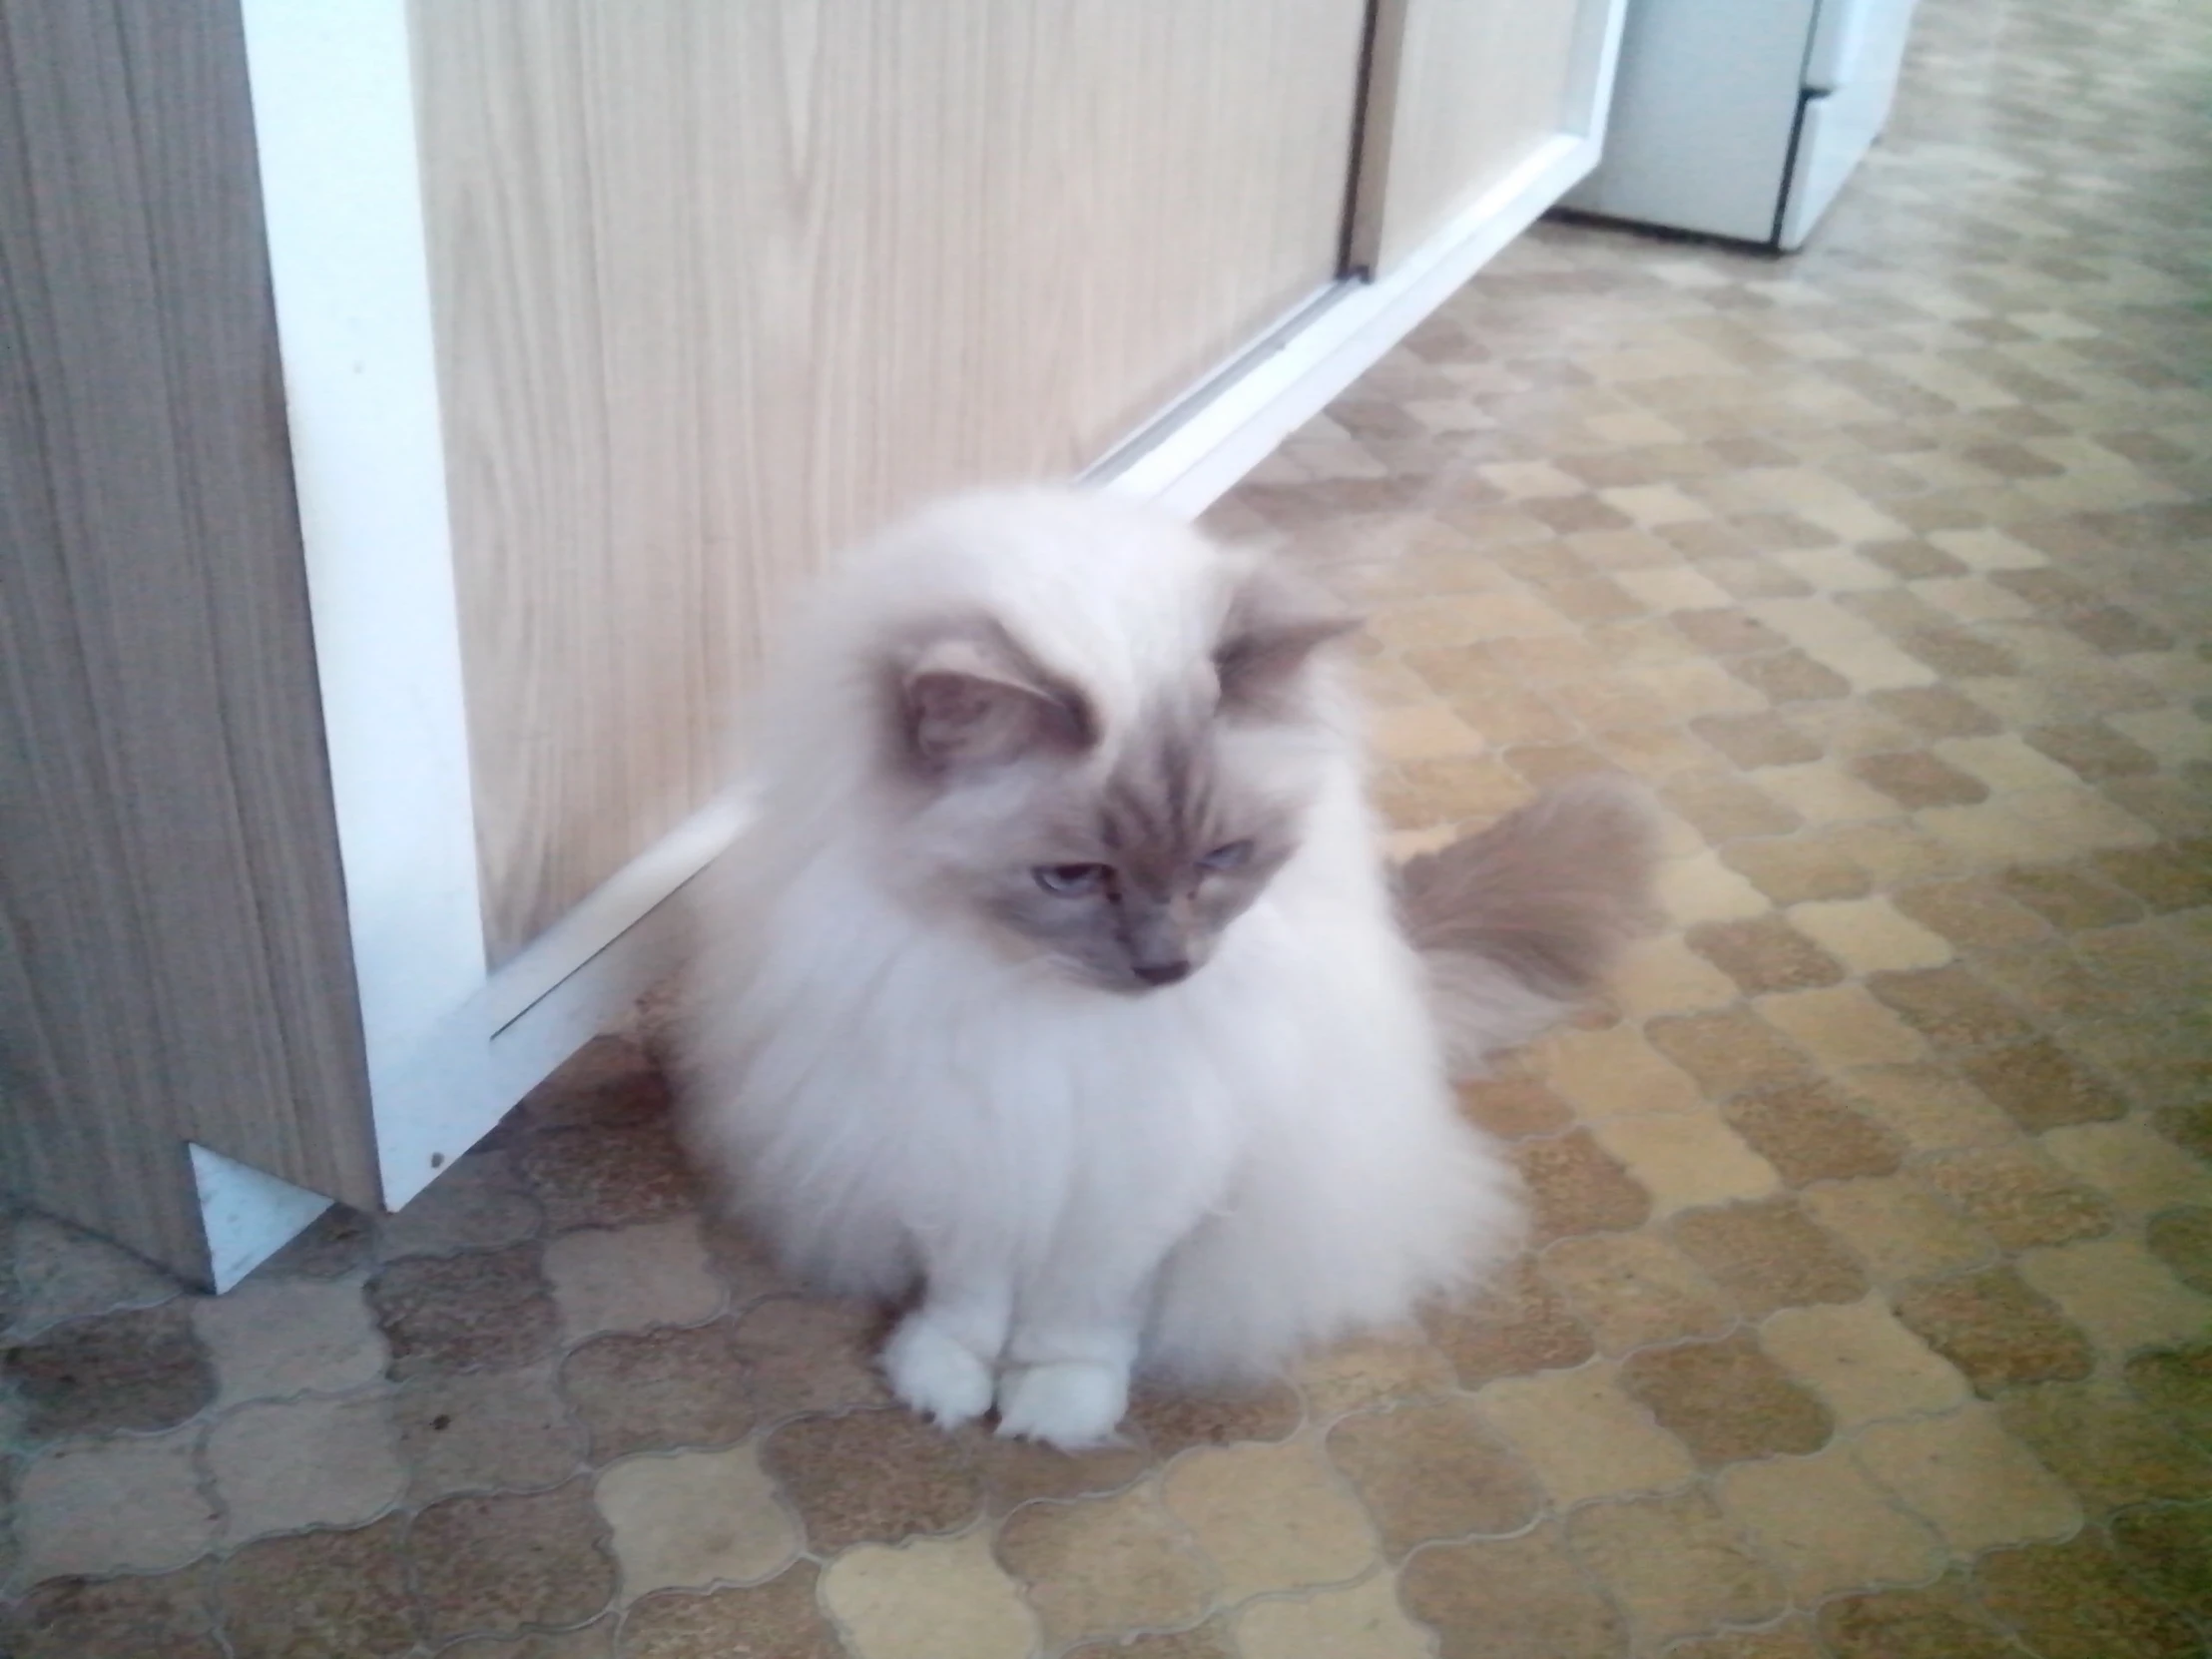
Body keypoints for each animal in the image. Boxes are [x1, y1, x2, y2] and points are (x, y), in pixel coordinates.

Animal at [681, 486, 1654, 1450]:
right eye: (1074, 876)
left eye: (1221, 857)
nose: (1167, 966)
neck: (1049, 1014)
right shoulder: (966, 1137)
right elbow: (970, 1288)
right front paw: (952, 1378)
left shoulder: (1152, 1161)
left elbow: (1082, 1309)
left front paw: (1056, 1402)